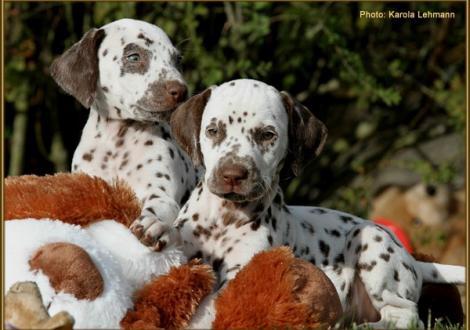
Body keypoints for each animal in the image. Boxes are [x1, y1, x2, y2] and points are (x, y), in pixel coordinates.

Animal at [51, 18, 196, 250]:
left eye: (177, 60)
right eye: (134, 57)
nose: (181, 91)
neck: (117, 142)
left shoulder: (161, 192)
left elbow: (159, 205)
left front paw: (152, 222)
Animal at [171, 79, 464, 328]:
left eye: (267, 135)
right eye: (213, 130)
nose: (232, 174)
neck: (224, 219)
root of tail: (412, 260)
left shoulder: (238, 276)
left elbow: (210, 308)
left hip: (370, 239)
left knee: (405, 316)